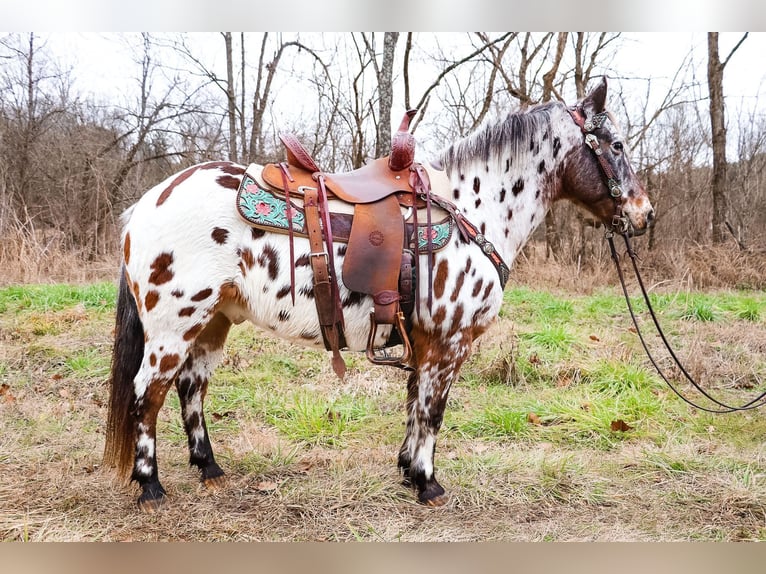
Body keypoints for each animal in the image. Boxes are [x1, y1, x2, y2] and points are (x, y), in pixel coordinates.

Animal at [102, 77, 656, 512]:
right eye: (616, 145)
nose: (645, 214)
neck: (472, 210)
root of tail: (145, 204)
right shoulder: (450, 343)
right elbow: (434, 410)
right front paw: (428, 483)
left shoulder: (425, 343)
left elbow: (416, 404)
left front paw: (409, 470)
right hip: (173, 328)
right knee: (147, 393)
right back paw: (151, 486)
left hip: (212, 323)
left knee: (190, 388)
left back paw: (209, 468)